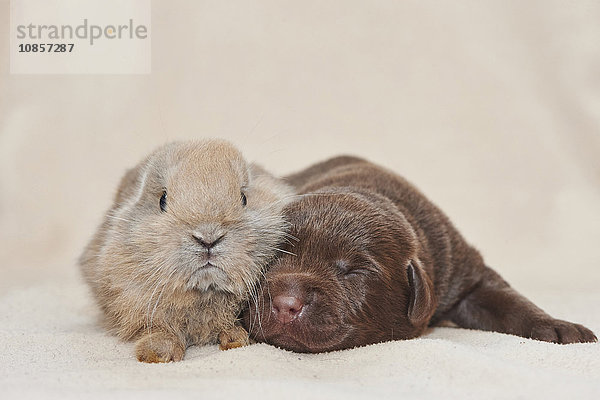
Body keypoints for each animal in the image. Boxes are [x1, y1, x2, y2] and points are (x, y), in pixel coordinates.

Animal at [78, 140, 294, 362]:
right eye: (162, 200)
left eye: (243, 198)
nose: (208, 238)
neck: (205, 292)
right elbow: (158, 329)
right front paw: (157, 354)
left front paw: (236, 339)